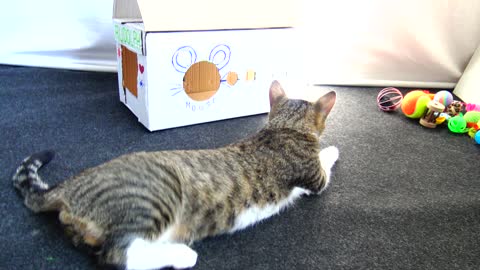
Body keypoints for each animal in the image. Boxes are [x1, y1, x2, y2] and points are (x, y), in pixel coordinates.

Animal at [13, 80, 340, 270]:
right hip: (155, 199)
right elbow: (325, 161)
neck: (283, 127)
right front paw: (333, 148)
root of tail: (67, 186)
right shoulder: (315, 178)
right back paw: (182, 256)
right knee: (117, 255)